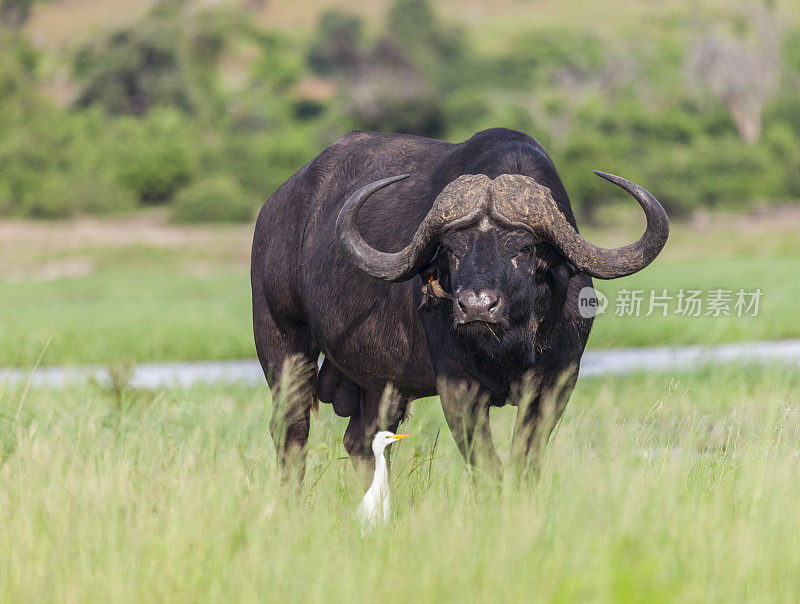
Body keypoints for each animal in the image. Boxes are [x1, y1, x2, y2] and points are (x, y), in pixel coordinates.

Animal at [252, 127, 668, 482]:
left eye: (525, 248)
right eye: (452, 250)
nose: (477, 306)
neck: (509, 344)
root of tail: (274, 209)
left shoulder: (558, 380)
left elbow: (526, 459)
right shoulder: (457, 386)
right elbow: (487, 464)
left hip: (381, 383)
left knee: (362, 441)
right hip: (282, 344)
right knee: (291, 434)